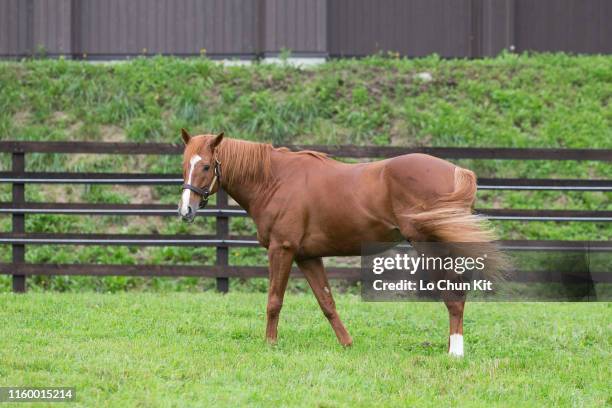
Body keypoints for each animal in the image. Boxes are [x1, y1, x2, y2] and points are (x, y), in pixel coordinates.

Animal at [178, 131, 502, 356]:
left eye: (206, 166)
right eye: (185, 165)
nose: (185, 210)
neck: (274, 180)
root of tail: (458, 172)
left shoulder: (282, 249)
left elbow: (274, 300)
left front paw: (270, 343)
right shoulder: (307, 256)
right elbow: (327, 302)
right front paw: (347, 344)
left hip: (432, 246)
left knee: (454, 295)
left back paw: (455, 352)